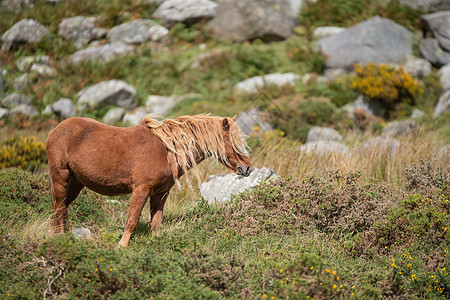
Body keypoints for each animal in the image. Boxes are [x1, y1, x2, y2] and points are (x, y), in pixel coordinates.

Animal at [47, 115, 251, 246]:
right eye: (232, 141)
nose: (247, 168)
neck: (167, 150)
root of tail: (56, 130)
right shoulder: (141, 190)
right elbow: (132, 220)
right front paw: (122, 246)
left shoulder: (160, 193)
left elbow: (156, 223)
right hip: (61, 177)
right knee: (59, 209)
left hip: (75, 184)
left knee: (59, 208)